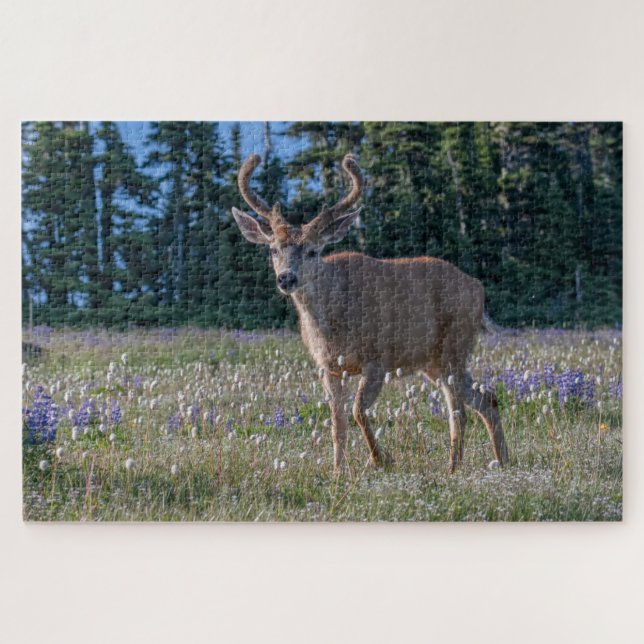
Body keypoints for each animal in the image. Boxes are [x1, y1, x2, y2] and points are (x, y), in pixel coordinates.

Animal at [232, 153, 509, 475]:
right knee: (472, 404)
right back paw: (466, 465)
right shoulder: (328, 367)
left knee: (474, 402)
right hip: (435, 362)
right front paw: (338, 471)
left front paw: (381, 459)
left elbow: (357, 410)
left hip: (455, 345)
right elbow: (337, 423)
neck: (334, 322)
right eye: (274, 249)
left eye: (313, 250)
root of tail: (478, 288)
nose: (286, 278)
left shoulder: (378, 359)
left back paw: (488, 462)